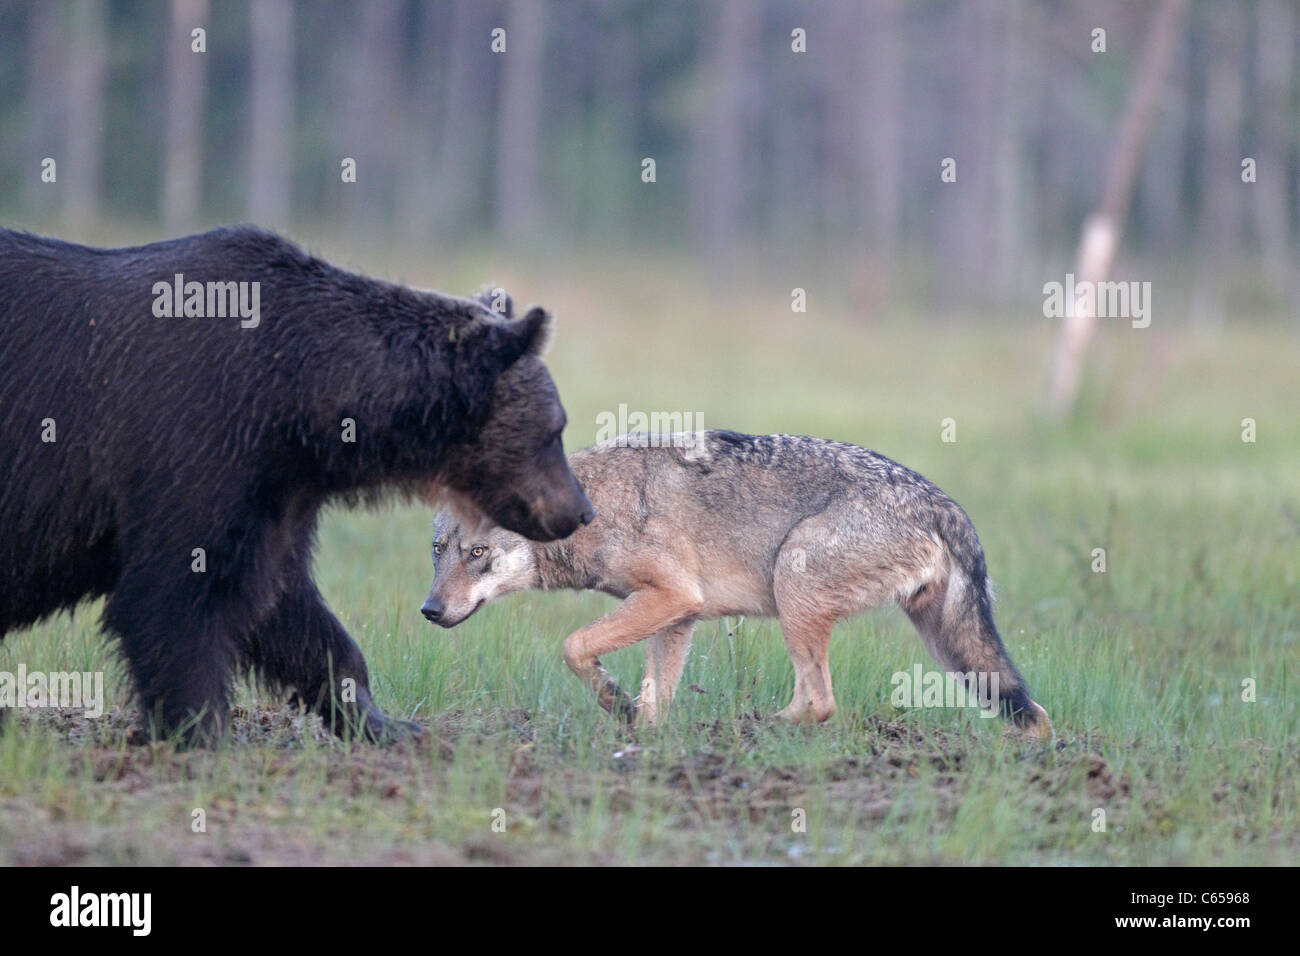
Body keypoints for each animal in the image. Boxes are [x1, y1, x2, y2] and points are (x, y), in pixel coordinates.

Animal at [1, 227, 595, 743]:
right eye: (555, 429)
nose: (580, 510)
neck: (297, 402)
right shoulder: (191, 445)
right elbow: (172, 599)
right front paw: (199, 731)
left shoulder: (276, 492)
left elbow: (290, 609)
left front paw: (386, 724)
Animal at [426, 434, 1055, 738]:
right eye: (438, 552)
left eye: (477, 554)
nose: (430, 610)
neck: (591, 509)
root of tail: (944, 502)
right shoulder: (677, 616)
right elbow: (655, 699)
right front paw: (643, 737)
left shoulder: (673, 597)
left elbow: (574, 646)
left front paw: (615, 703)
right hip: (947, 649)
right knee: (1037, 714)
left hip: (793, 583)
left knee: (821, 703)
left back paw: (742, 728)